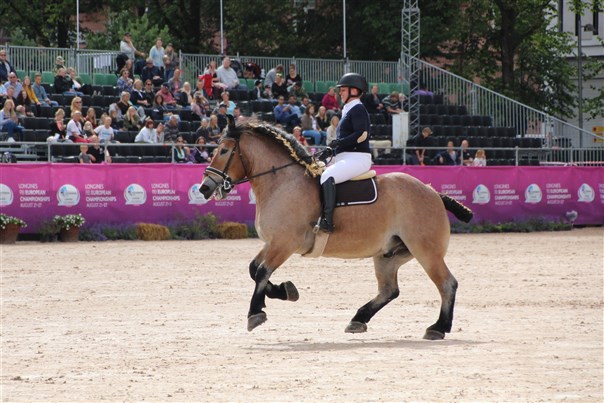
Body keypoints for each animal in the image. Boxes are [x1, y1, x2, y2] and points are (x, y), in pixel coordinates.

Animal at [201, 120, 470, 340]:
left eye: (223, 151)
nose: (205, 188)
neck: (282, 183)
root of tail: (432, 191)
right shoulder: (272, 243)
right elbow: (254, 269)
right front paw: (286, 291)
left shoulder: (284, 244)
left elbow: (261, 272)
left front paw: (255, 313)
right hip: (389, 254)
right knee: (389, 290)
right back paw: (358, 319)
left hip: (426, 251)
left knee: (447, 284)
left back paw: (438, 327)